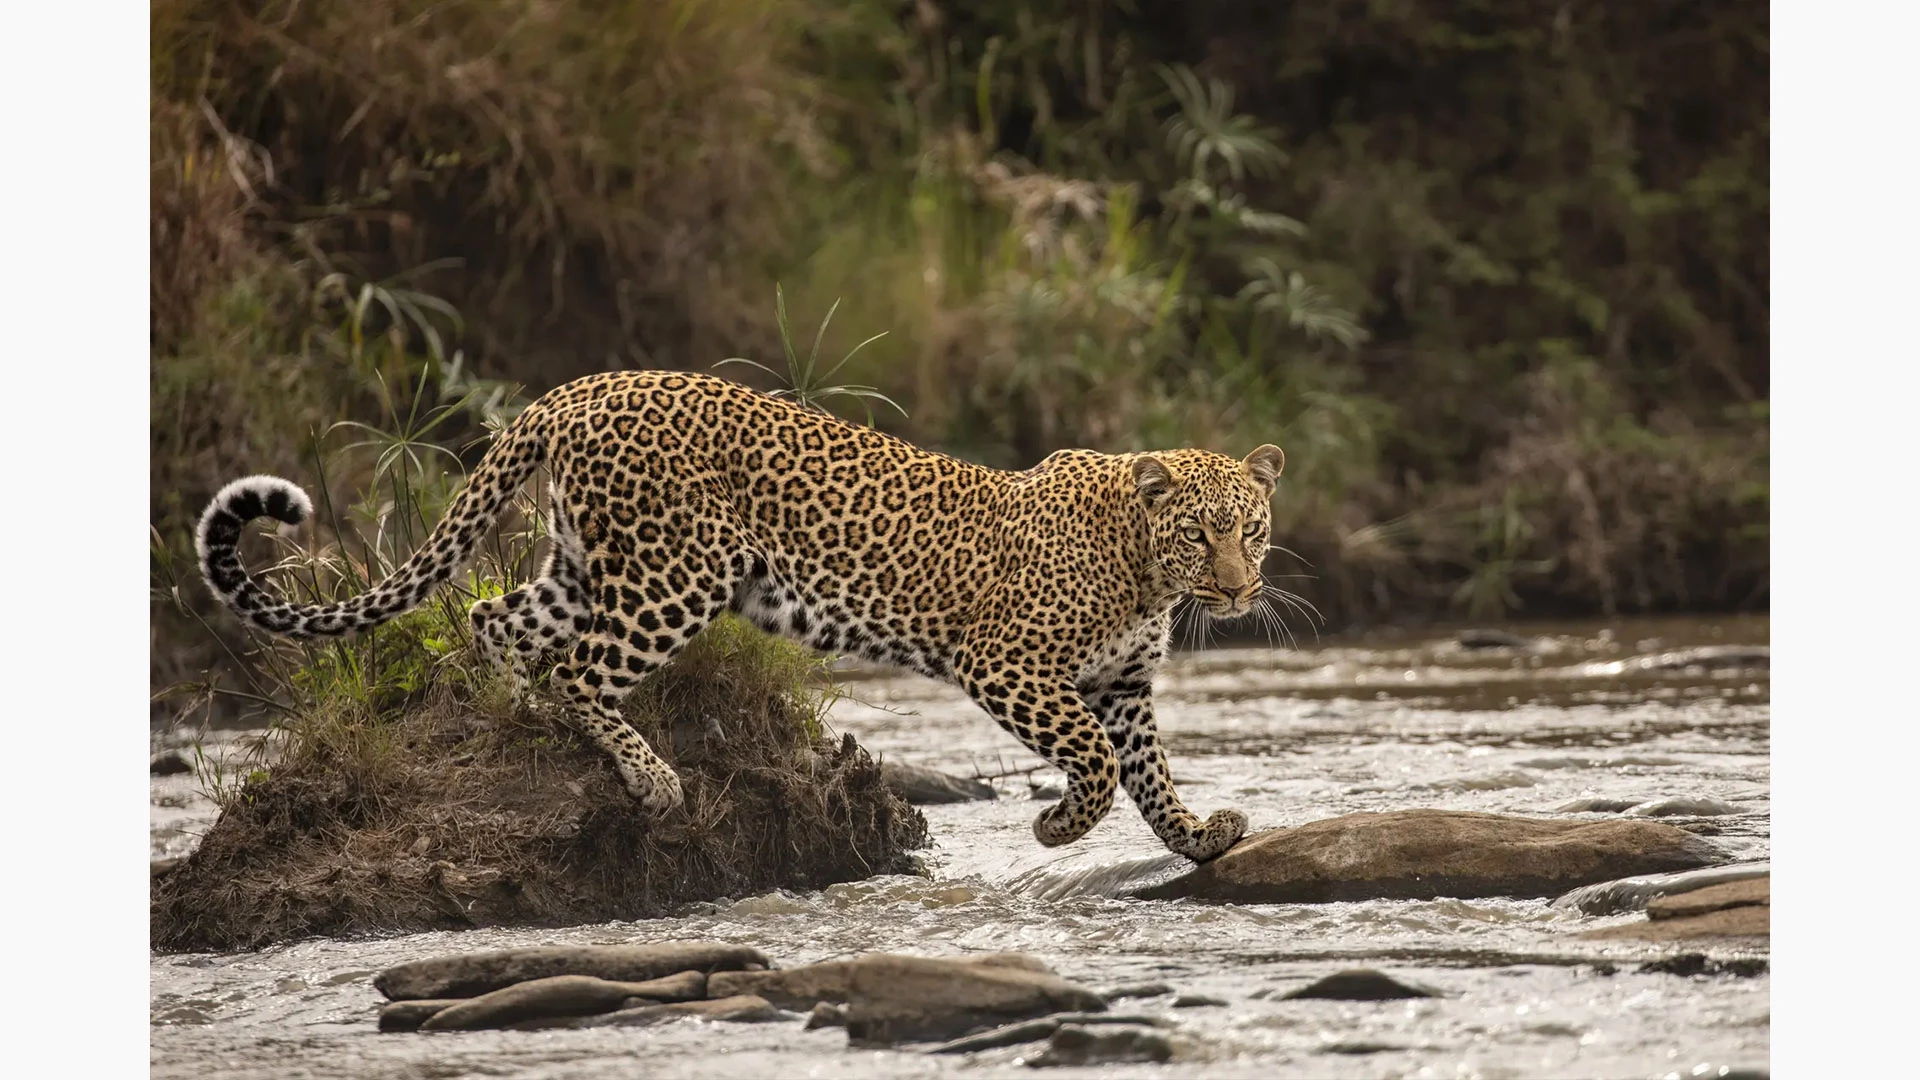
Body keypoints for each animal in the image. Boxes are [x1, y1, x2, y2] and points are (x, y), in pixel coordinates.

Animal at [194, 368, 1282, 857]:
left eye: (1254, 530)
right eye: (1200, 535)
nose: (1238, 589)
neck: (1145, 570)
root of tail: (575, 389)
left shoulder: (1123, 681)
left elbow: (1148, 769)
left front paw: (1199, 834)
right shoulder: (1007, 663)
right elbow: (1097, 760)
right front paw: (1060, 825)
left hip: (587, 566)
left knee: (496, 621)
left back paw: (512, 722)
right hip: (680, 572)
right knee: (581, 668)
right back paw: (651, 780)